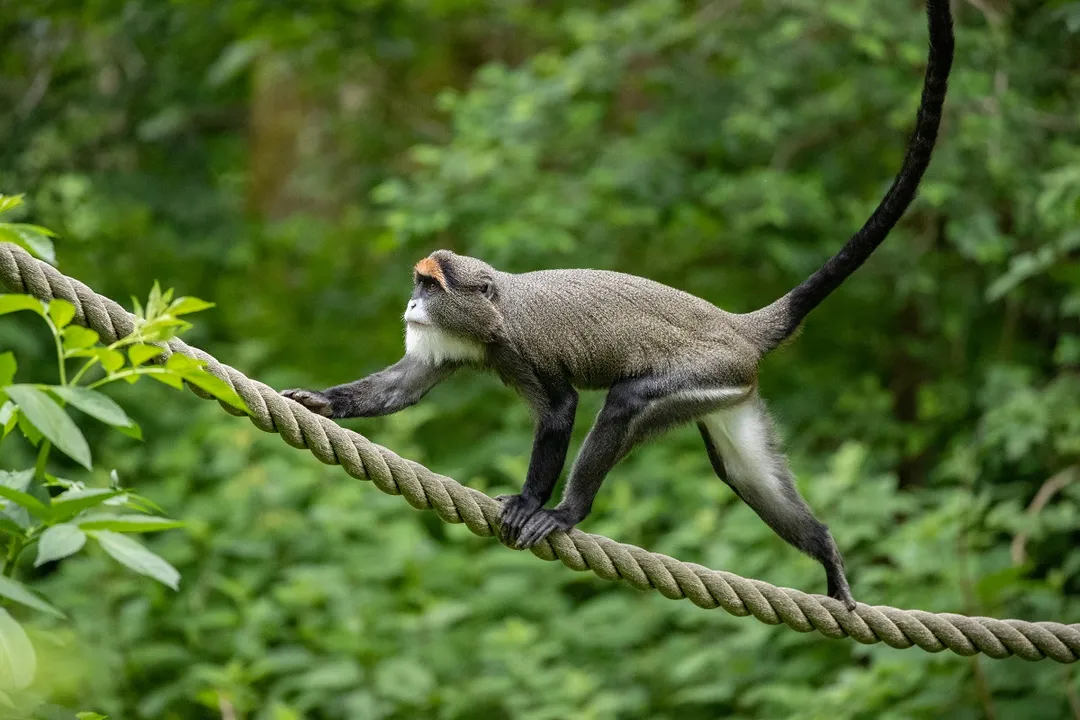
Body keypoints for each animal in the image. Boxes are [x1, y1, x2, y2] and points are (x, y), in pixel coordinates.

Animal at [281, 0, 954, 610]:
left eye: (430, 287)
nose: (411, 306)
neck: (495, 314)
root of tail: (741, 327)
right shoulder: (449, 345)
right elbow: (404, 386)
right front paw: (320, 402)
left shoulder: (522, 348)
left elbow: (560, 411)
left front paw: (529, 501)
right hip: (730, 393)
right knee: (745, 474)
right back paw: (827, 553)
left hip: (704, 373)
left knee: (629, 401)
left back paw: (567, 512)